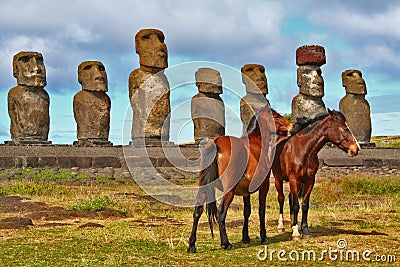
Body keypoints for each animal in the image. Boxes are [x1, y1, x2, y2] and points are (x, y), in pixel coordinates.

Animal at [188, 104, 294, 253]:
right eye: (276, 116)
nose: (292, 126)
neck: (256, 142)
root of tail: (216, 142)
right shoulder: (264, 186)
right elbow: (261, 211)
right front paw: (264, 237)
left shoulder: (245, 191)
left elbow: (247, 212)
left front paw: (245, 237)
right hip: (229, 191)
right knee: (221, 213)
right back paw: (226, 243)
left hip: (203, 187)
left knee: (197, 211)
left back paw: (192, 245)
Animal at [272, 109, 360, 241]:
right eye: (344, 128)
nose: (356, 148)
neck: (303, 150)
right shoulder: (294, 179)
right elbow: (296, 205)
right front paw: (296, 233)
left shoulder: (309, 181)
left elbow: (304, 205)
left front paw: (305, 231)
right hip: (278, 179)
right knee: (281, 198)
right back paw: (281, 226)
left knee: (290, 198)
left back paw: (293, 224)